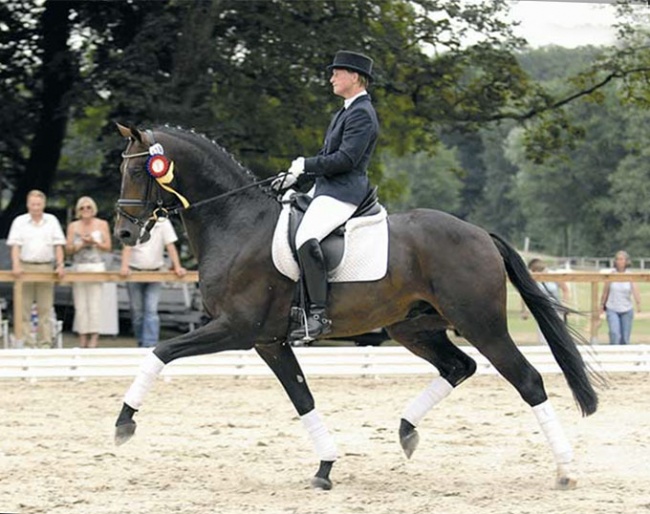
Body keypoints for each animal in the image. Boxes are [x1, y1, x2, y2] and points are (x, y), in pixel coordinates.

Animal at [112, 123, 596, 488]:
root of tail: (480, 234)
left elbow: (160, 352)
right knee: (459, 366)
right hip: (413, 327)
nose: (124, 233)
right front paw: (325, 467)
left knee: (527, 380)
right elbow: (302, 398)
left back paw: (566, 471)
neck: (236, 222)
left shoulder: (237, 329)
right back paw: (406, 430)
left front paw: (124, 423)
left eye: (138, 169)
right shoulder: (269, 342)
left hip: (482, 324)